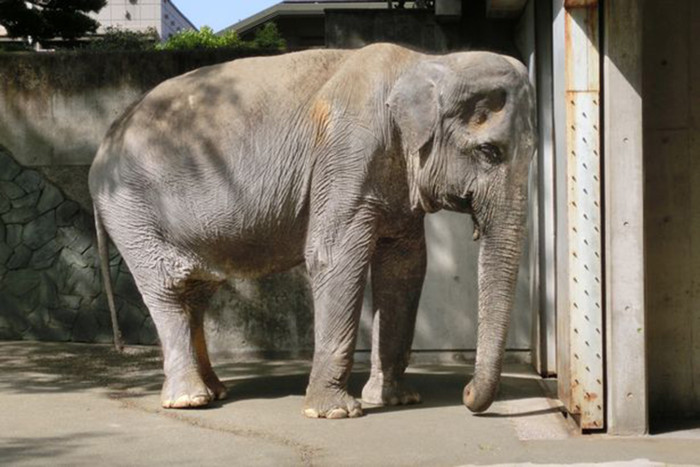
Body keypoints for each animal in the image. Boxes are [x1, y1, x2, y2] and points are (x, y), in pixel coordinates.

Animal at [89, 43, 536, 418]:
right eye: (489, 151)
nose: (466, 395)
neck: (426, 61)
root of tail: (105, 139)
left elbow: (405, 268)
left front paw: (396, 400)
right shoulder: (346, 154)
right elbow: (335, 258)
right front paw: (335, 412)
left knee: (195, 293)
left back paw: (215, 391)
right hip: (132, 211)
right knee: (167, 287)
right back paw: (190, 400)